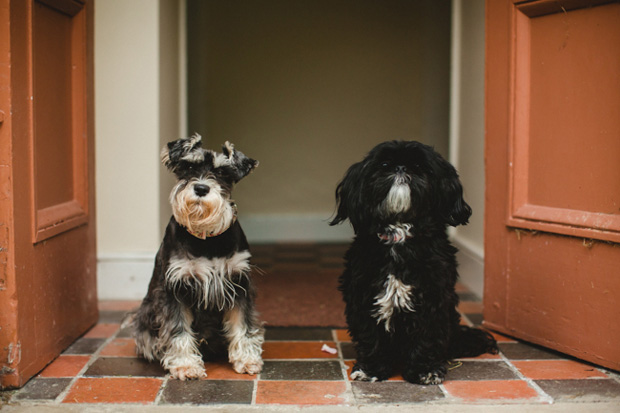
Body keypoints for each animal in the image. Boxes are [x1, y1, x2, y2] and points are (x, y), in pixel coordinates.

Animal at [131, 134, 264, 378]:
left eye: (222, 172)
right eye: (189, 167)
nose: (201, 188)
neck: (207, 238)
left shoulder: (238, 284)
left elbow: (243, 325)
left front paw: (247, 359)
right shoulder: (175, 288)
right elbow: (178, 328)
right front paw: (185, 364)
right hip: (144, 318)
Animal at [330, 141, 498, 384]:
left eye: (419, 166)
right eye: (384, 164)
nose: (401, 168)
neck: (400, 235)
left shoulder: (432, 299)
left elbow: (426, 337)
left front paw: (424, 370)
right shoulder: (363, 297)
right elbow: (371, 336)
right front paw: (371, 368)